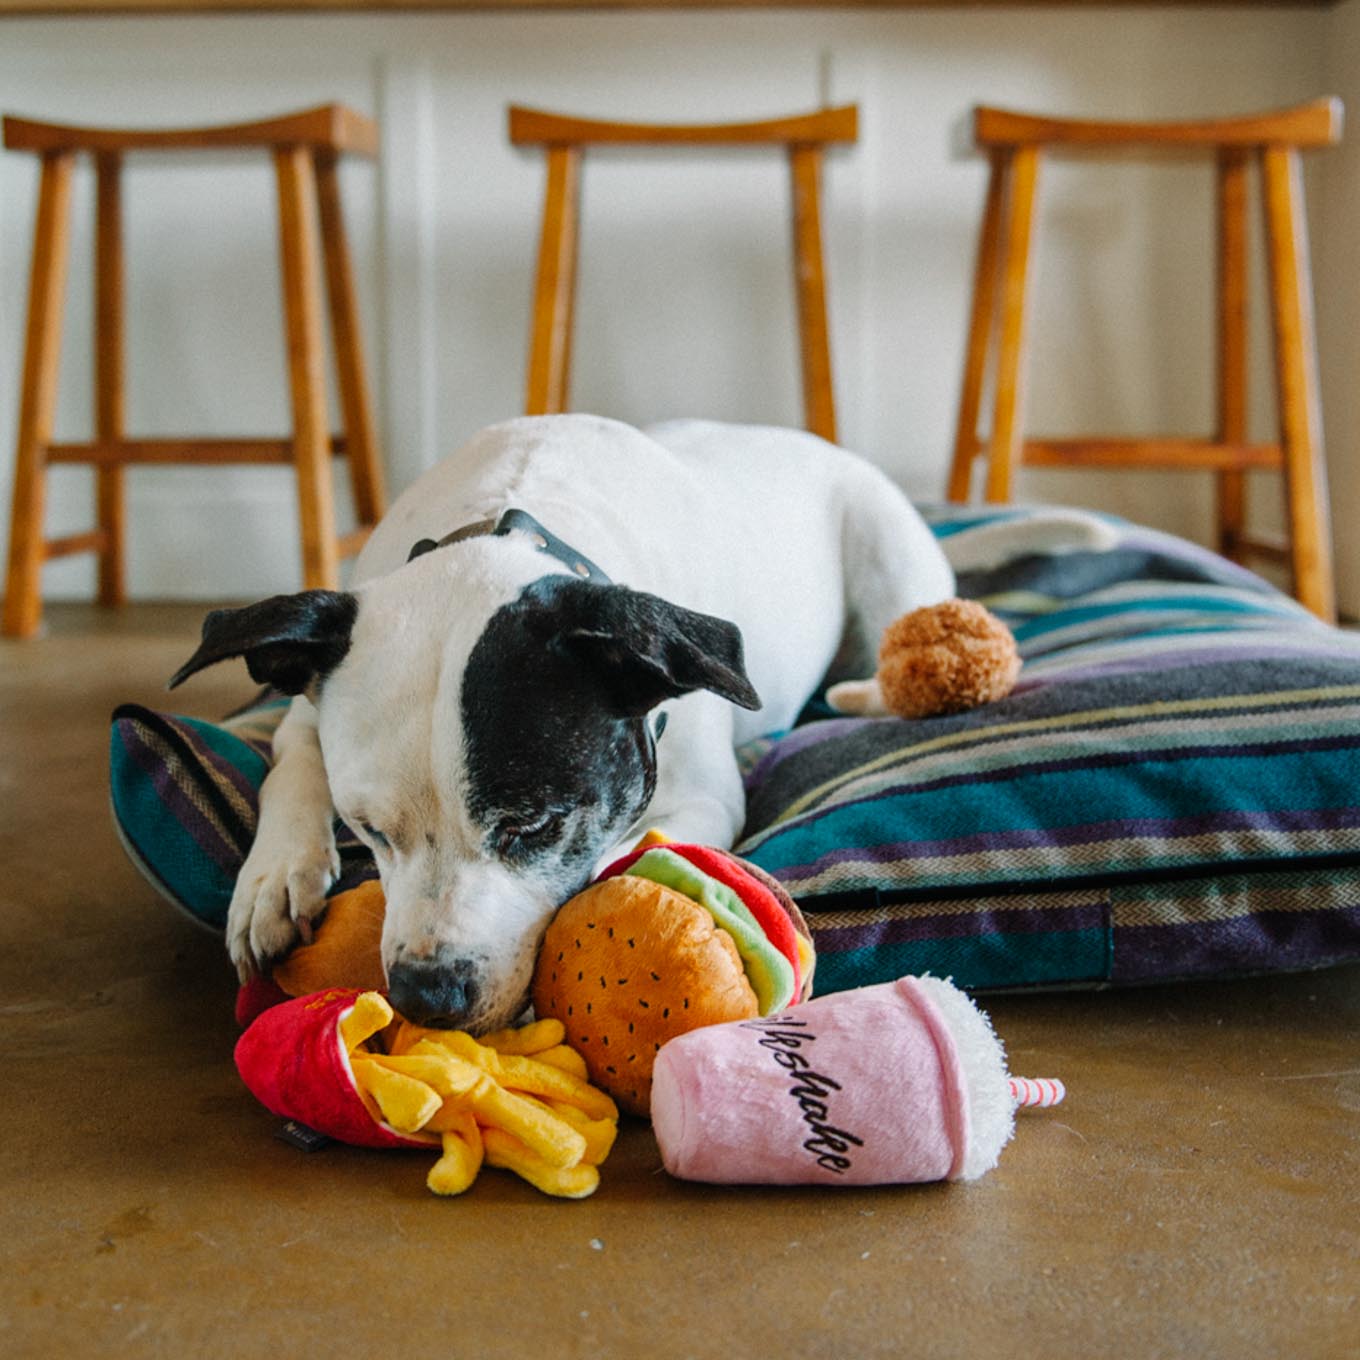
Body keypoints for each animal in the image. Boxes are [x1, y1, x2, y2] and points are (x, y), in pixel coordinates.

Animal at [172, 413, 1104, 1028]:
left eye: (534, 825)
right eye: (367, 830)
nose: (426, 995)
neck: (515, 521)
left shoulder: (697, 799)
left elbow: (630, 856)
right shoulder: (309, 704)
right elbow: (292, 756)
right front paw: (273, 878)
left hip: (886, 558)